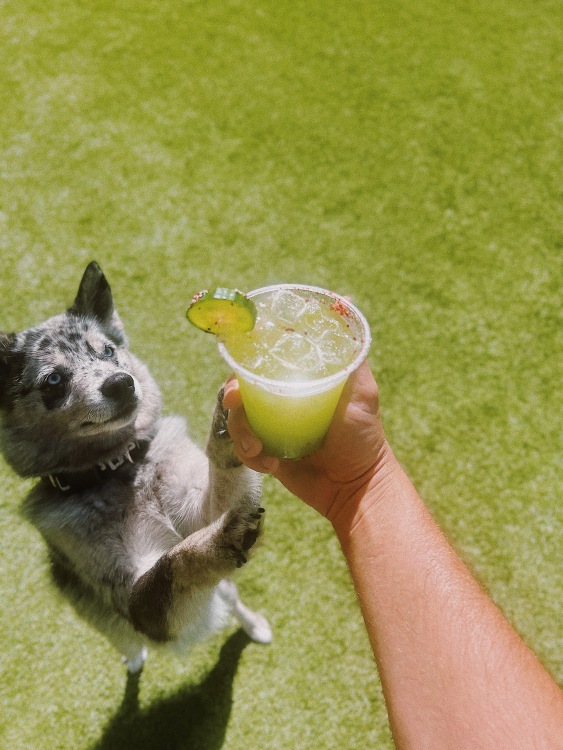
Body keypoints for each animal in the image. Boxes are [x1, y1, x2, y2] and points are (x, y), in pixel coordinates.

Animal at [0, 262, 274, 676]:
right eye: (54, 379)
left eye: (108, 351)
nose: (121, 383)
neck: (119, 471)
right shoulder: (140, 600)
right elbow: (172, 565)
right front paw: (217, 542)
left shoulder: (197, 510)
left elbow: (221, 487)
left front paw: (228, 425)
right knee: (122, 634)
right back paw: (133, 657)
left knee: (232, 598)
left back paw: (254, 624)